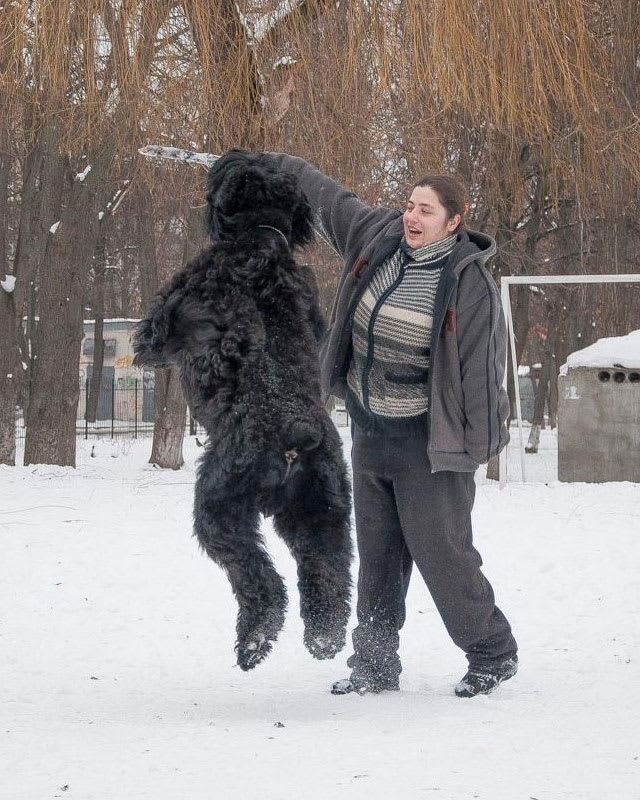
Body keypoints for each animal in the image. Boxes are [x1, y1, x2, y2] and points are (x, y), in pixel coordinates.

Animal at [133, 149, 352, 670]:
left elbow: (150, 338)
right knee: (326, 569)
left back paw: (254, 638)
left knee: (256, 575)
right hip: (322, 508)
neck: (260, 240)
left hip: (220, 506)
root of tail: (295, 430)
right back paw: (325, 637)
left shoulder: (169, 314)